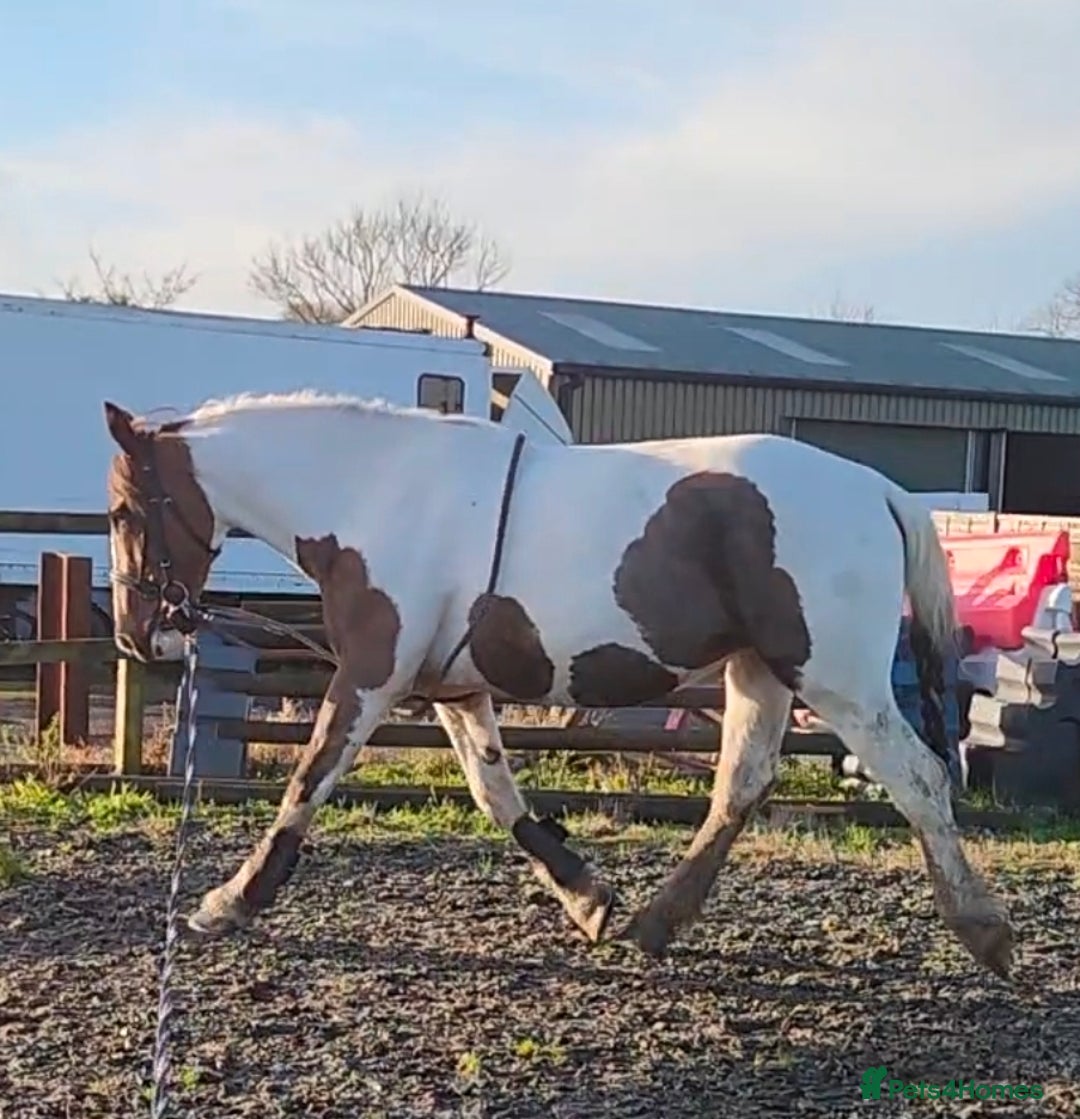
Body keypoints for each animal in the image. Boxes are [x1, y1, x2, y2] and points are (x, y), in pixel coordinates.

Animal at [101, 390, 1013, 978]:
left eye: (122, 512)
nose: (137, 631)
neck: (378, 492)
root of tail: (881, 490)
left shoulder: (371, 674)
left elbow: (308, 779)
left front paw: (229, 901)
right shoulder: (455, 689)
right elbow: (496, 794)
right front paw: (588, 898)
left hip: (839, 679)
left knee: (919, 778)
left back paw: (985, 932)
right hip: (762, 670)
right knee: (741, 783)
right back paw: (655, 922)